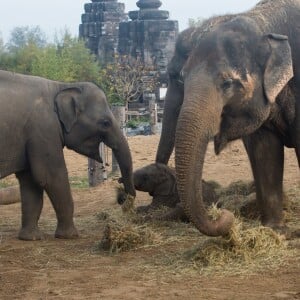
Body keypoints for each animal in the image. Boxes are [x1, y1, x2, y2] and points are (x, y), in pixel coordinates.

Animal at [0, 69, 135, 240]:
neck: (61, 86)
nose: (122, 198)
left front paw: (31, 238)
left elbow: (31, 180)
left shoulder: (30, 137)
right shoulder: (44, 129)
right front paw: (70, 235)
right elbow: (50, 176)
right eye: (105, 123)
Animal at [173, 0, 300, 238]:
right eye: (182, 79)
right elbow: (263, 151)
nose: (225, 214)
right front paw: (275, 231)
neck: (264, 24)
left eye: (228, 83)